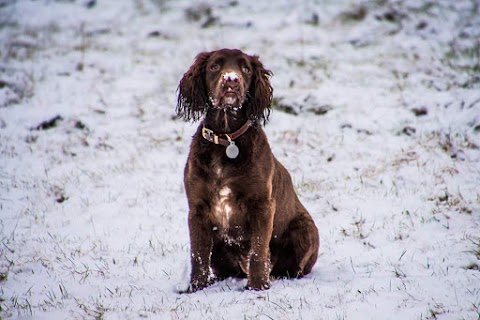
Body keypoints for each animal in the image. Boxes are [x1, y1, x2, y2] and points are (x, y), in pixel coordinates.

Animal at [176, 48, 318, 292]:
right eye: (214, 67)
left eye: (245, 69)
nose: (231, 80)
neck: (226, 139)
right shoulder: (197, 208)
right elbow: (198, 254)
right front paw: (195, 288)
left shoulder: (262, 204)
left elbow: (258, 249)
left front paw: (258, 285)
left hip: (306, 230)